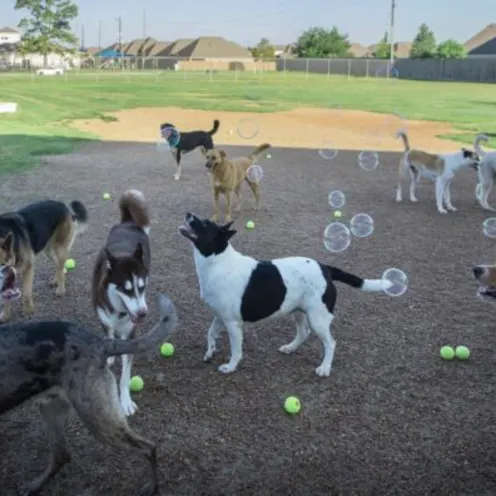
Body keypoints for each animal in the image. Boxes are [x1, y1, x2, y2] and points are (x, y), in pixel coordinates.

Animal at [0, 288, 178, 494]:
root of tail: (97, 343)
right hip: (52, 410)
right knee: (62, 455)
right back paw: (36, 485)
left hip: (99, 420)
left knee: (149, 447)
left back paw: (152, 487)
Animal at [178, 211, 392, 378]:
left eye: (205, 223)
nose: (188, 213)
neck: (217, 261)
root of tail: (326, 269)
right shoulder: (219, 316)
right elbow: (210, 333)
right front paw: (210, 352)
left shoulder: (232, 324)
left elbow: (236, 350)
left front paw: (230, 367)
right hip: (298, 311)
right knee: (303, 332)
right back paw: (290, 348)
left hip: (318, 319)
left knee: (331, 343)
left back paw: (324, 368)